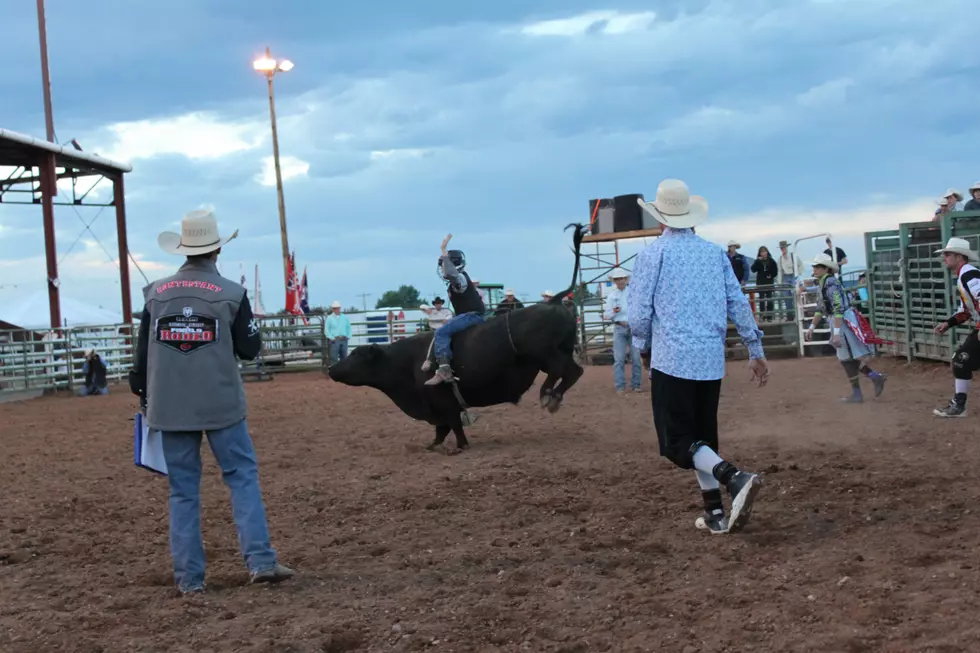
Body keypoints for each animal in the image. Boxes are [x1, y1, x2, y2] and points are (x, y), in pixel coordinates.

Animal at [330, 222, 588, 450]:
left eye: (357, 355)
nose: (332, 369)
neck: (404, 361)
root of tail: (554, 301)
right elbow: (441, 430)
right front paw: (432, 446)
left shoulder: (443, 403)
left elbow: (452, 425)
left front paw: (459, 446)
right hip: (557, 352)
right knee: (567, 372)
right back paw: (550, 395)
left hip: (544, 353)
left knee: (568, 370)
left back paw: (548, 396)